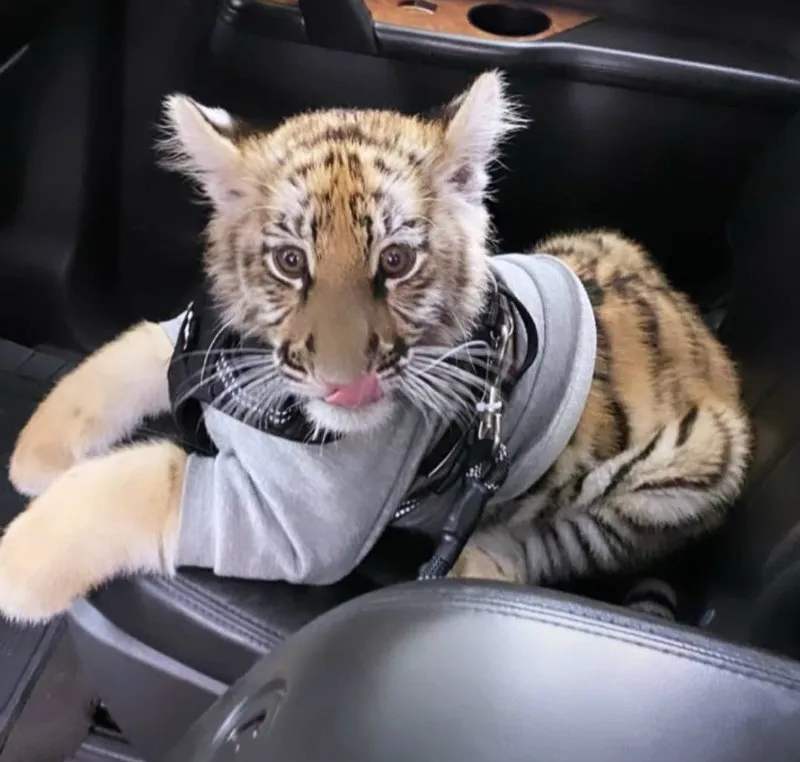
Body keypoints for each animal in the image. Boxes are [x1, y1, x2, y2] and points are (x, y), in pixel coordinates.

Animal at [0, 70, 751, 623]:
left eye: (395, 261)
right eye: (290, 262)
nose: (345, 379)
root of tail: (703, 338)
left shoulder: (295, 529)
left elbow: (138, 481)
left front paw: (17, 565)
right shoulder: (192, 342)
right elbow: (116, 360)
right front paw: (34, 458)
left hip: (686, 470)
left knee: (555, 540)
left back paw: (471, 566)